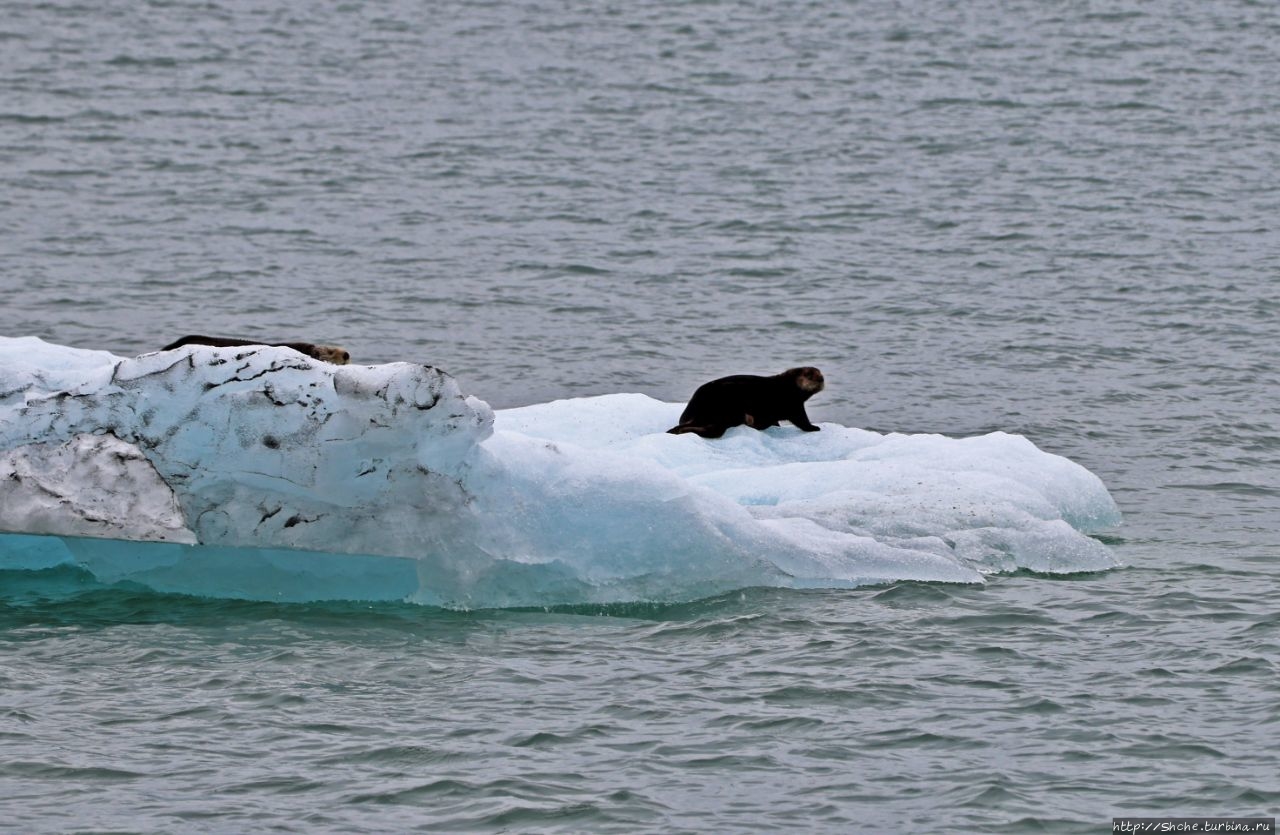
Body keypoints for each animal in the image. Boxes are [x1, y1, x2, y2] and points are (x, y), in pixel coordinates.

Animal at [665, 368, 824, 440]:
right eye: (809, 375)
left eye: (821, 374)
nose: (821, 379)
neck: (786, 386)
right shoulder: (793, 404)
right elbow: (801, 420)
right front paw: (814, 427)